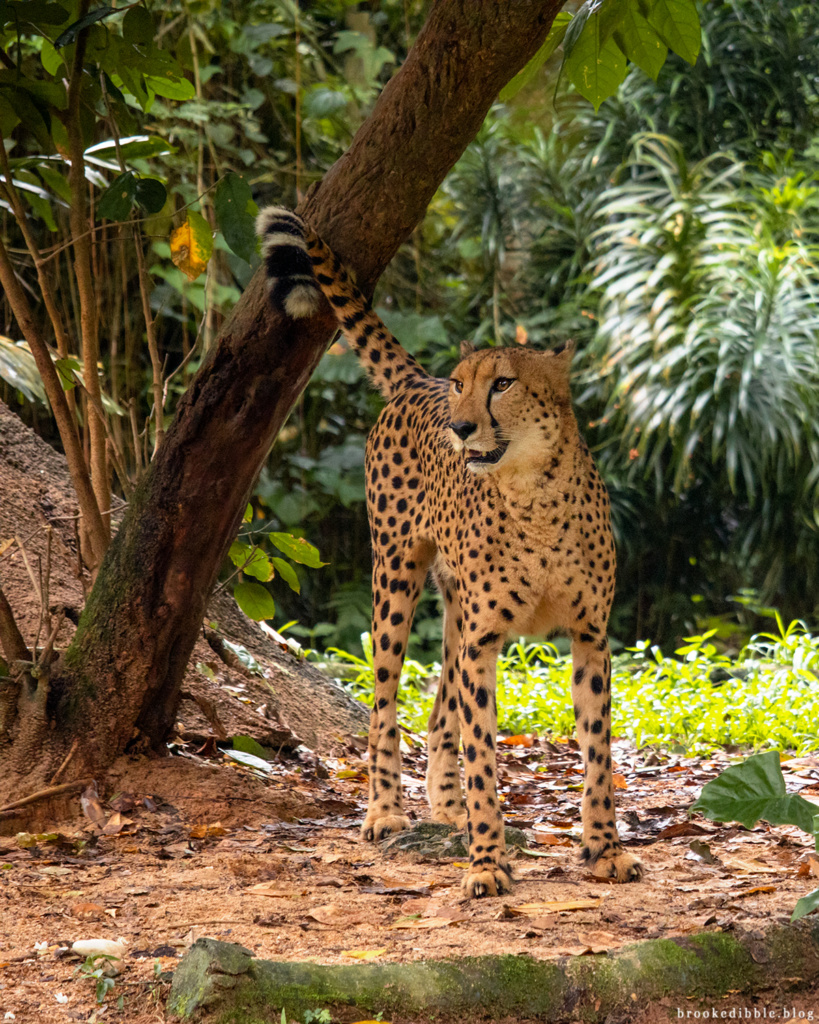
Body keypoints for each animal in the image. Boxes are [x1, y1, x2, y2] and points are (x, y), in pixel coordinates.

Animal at [259, 205, 642, 897]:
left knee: (440, 706)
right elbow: (483, 753)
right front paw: (487, 859)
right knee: (385, 702)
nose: (460, 426)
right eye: (467, 386)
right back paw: (387, 811)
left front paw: (604, 849)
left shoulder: (589, 634)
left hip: (457, 607)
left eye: (504, 384)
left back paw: (444, 804)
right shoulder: (486, 640)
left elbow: (597, 753)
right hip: (395, 578)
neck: (533, 495)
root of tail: (419, 380)